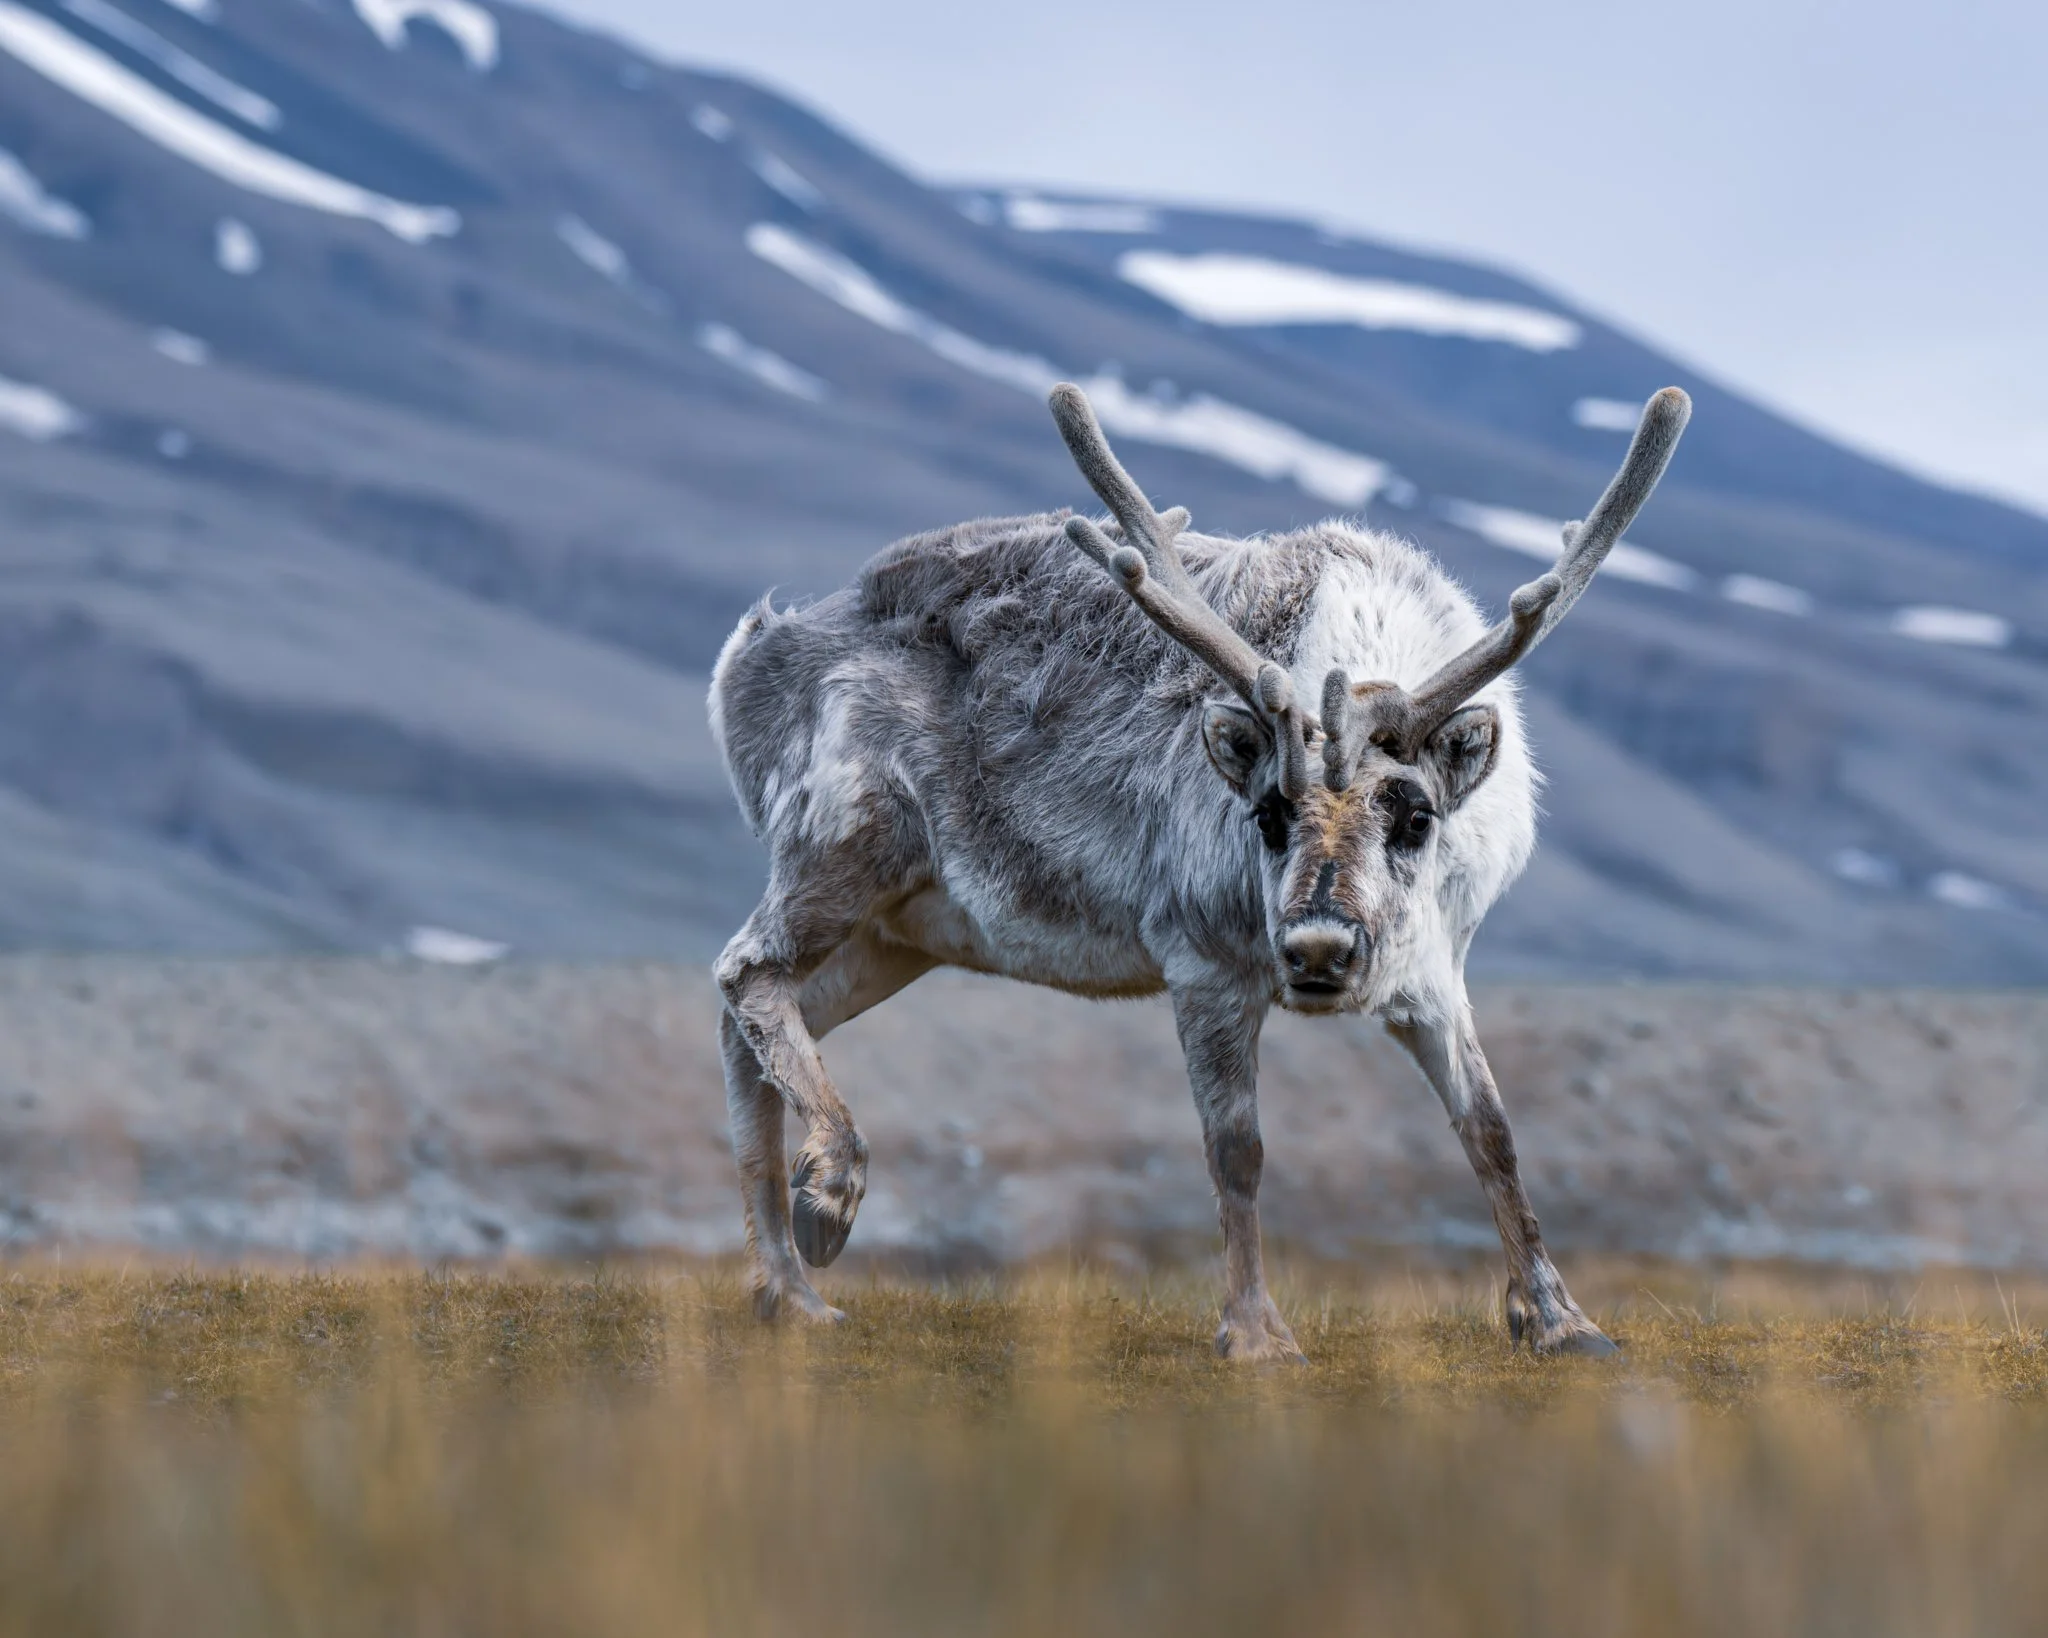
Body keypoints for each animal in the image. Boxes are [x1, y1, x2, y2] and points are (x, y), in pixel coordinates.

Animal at [710, 381, 1690, 1359]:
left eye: (1416, 817)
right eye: (1266, 813)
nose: (1318, 950)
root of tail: (746, 665)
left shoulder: (1433, 968)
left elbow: (1492, 1132)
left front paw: (1563, 1321)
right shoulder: (1205, 965)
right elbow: (1237, 1150)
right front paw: (1255, 1332)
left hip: (907, 930)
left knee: (754, 1021)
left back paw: (786, 1288)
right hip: (843, 848)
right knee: (743, 970)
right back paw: (825, 1205)